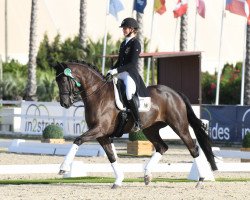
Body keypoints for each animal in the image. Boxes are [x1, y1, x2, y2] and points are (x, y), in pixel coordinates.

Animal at [53, 61, 217, 189]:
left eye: (63, 81)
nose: (64, 103)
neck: (98, 95)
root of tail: (174, 93)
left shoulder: (99, 129)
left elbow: (78, 140)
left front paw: (63, 168)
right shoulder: (102, 135)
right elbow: (111, 156)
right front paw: (118, 180)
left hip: (179, 125)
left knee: (193, 148)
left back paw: (201, 180)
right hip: (150, 129)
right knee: (162, 147)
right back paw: (147, 175)